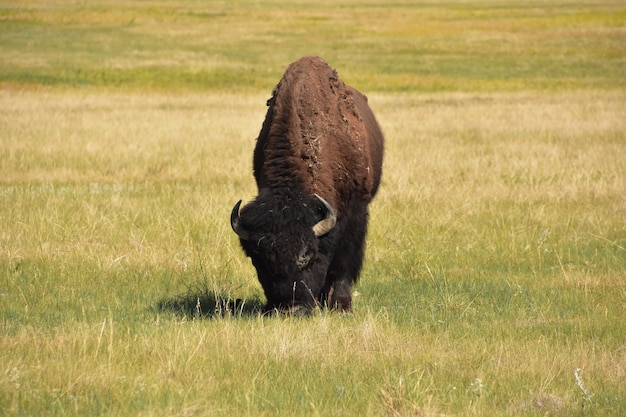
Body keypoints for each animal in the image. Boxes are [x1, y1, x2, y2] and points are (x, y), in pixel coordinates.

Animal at [230, 56, 382, 312]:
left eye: (309, 258)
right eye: (259, 262)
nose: (290, 309)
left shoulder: (355, 214)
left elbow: (343, 261)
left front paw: (341, 305)